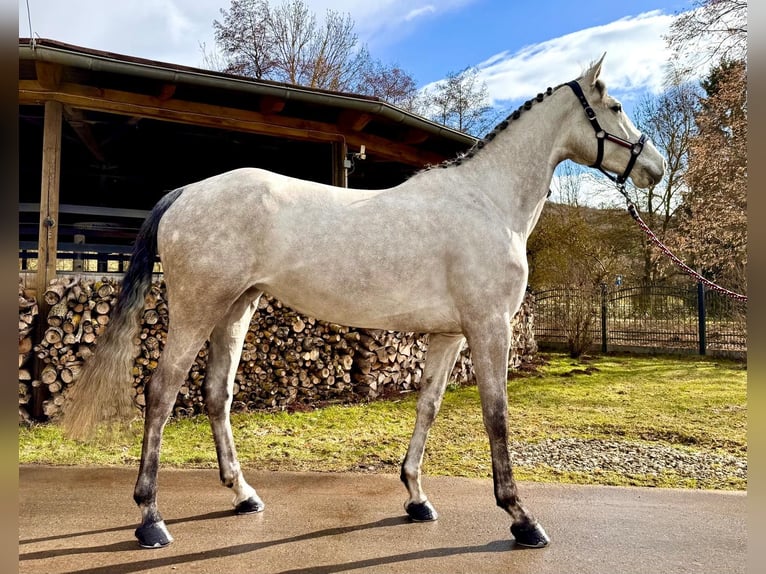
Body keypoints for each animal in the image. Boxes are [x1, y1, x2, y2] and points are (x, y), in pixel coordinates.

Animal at [61, 55, 665, 550]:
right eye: (615, 106)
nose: (655, 168)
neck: (486, 201)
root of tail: (186, 192)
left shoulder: (450, 333)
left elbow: (429, 406)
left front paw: (417, 497)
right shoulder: (490, 326)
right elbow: (496, 415)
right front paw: (521, 518)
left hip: (236, 309)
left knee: (217, 394)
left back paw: (243, 495)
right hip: (195, 310)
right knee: (161, 393)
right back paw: (150, 520)